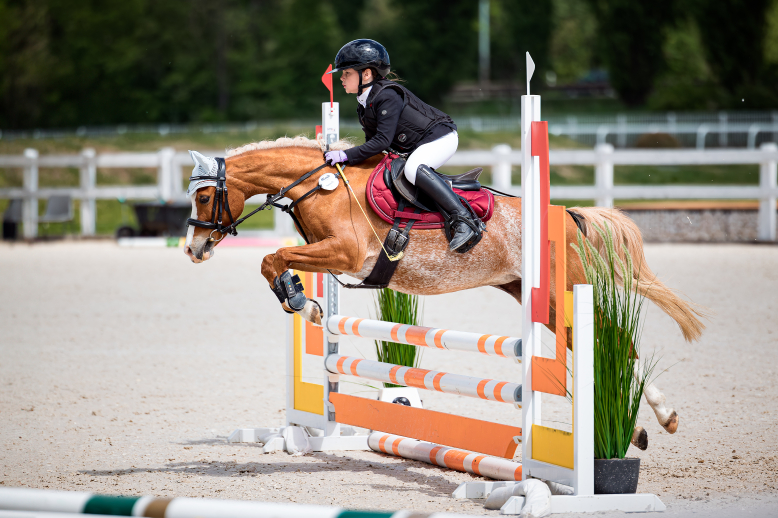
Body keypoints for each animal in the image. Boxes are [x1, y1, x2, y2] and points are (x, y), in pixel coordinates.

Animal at [183, 136, 705, 448]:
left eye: (204, 196)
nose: (192, 248)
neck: (321, 186)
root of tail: (569, 216)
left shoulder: (345, 254)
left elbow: (272, 259)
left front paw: (298, 300)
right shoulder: (329, 256)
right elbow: (276, 262)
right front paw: (307, 303)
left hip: (562, 293)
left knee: (614, 340)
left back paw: (651, 419)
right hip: (536, 296)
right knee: (597, 342)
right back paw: (644, 426)